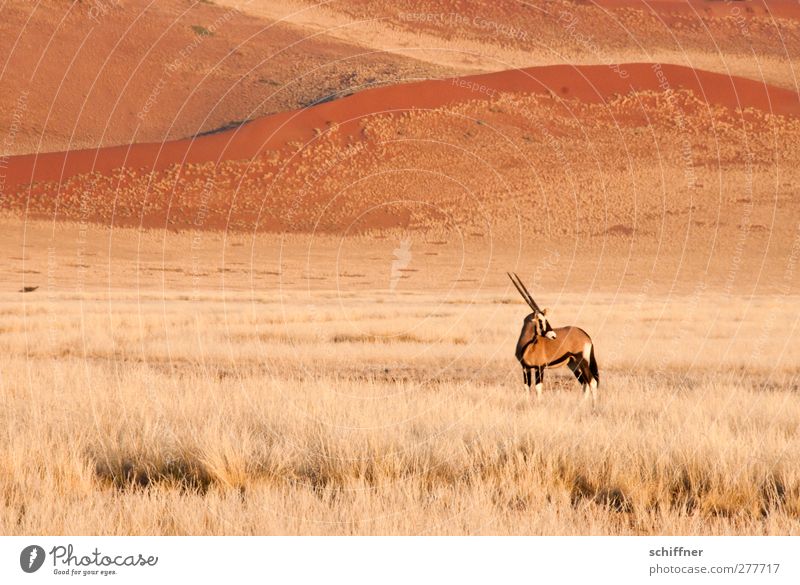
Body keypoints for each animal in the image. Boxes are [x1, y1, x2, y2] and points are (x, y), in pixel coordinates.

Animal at [510, 274, 596, 406]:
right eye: (541, 320)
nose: (553, 336)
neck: (527, 345)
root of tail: (586, 335)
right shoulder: (525, 368)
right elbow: (527, 387)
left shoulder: (540, 367)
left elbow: (538, 387)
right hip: (573, 364)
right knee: (584, 383)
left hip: (582, 360)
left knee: (592, 382)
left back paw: (594, 406)